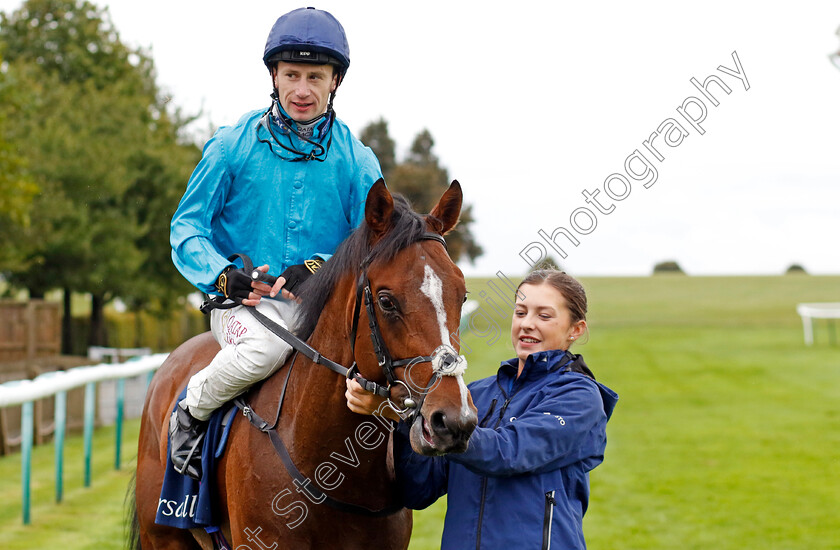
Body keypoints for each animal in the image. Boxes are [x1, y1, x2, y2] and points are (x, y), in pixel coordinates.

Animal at [129, 182, 476, 550]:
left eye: (462, 295)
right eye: (386, 300)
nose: (453, 420)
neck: (333, 471)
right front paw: (235, 279)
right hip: (162, 536)